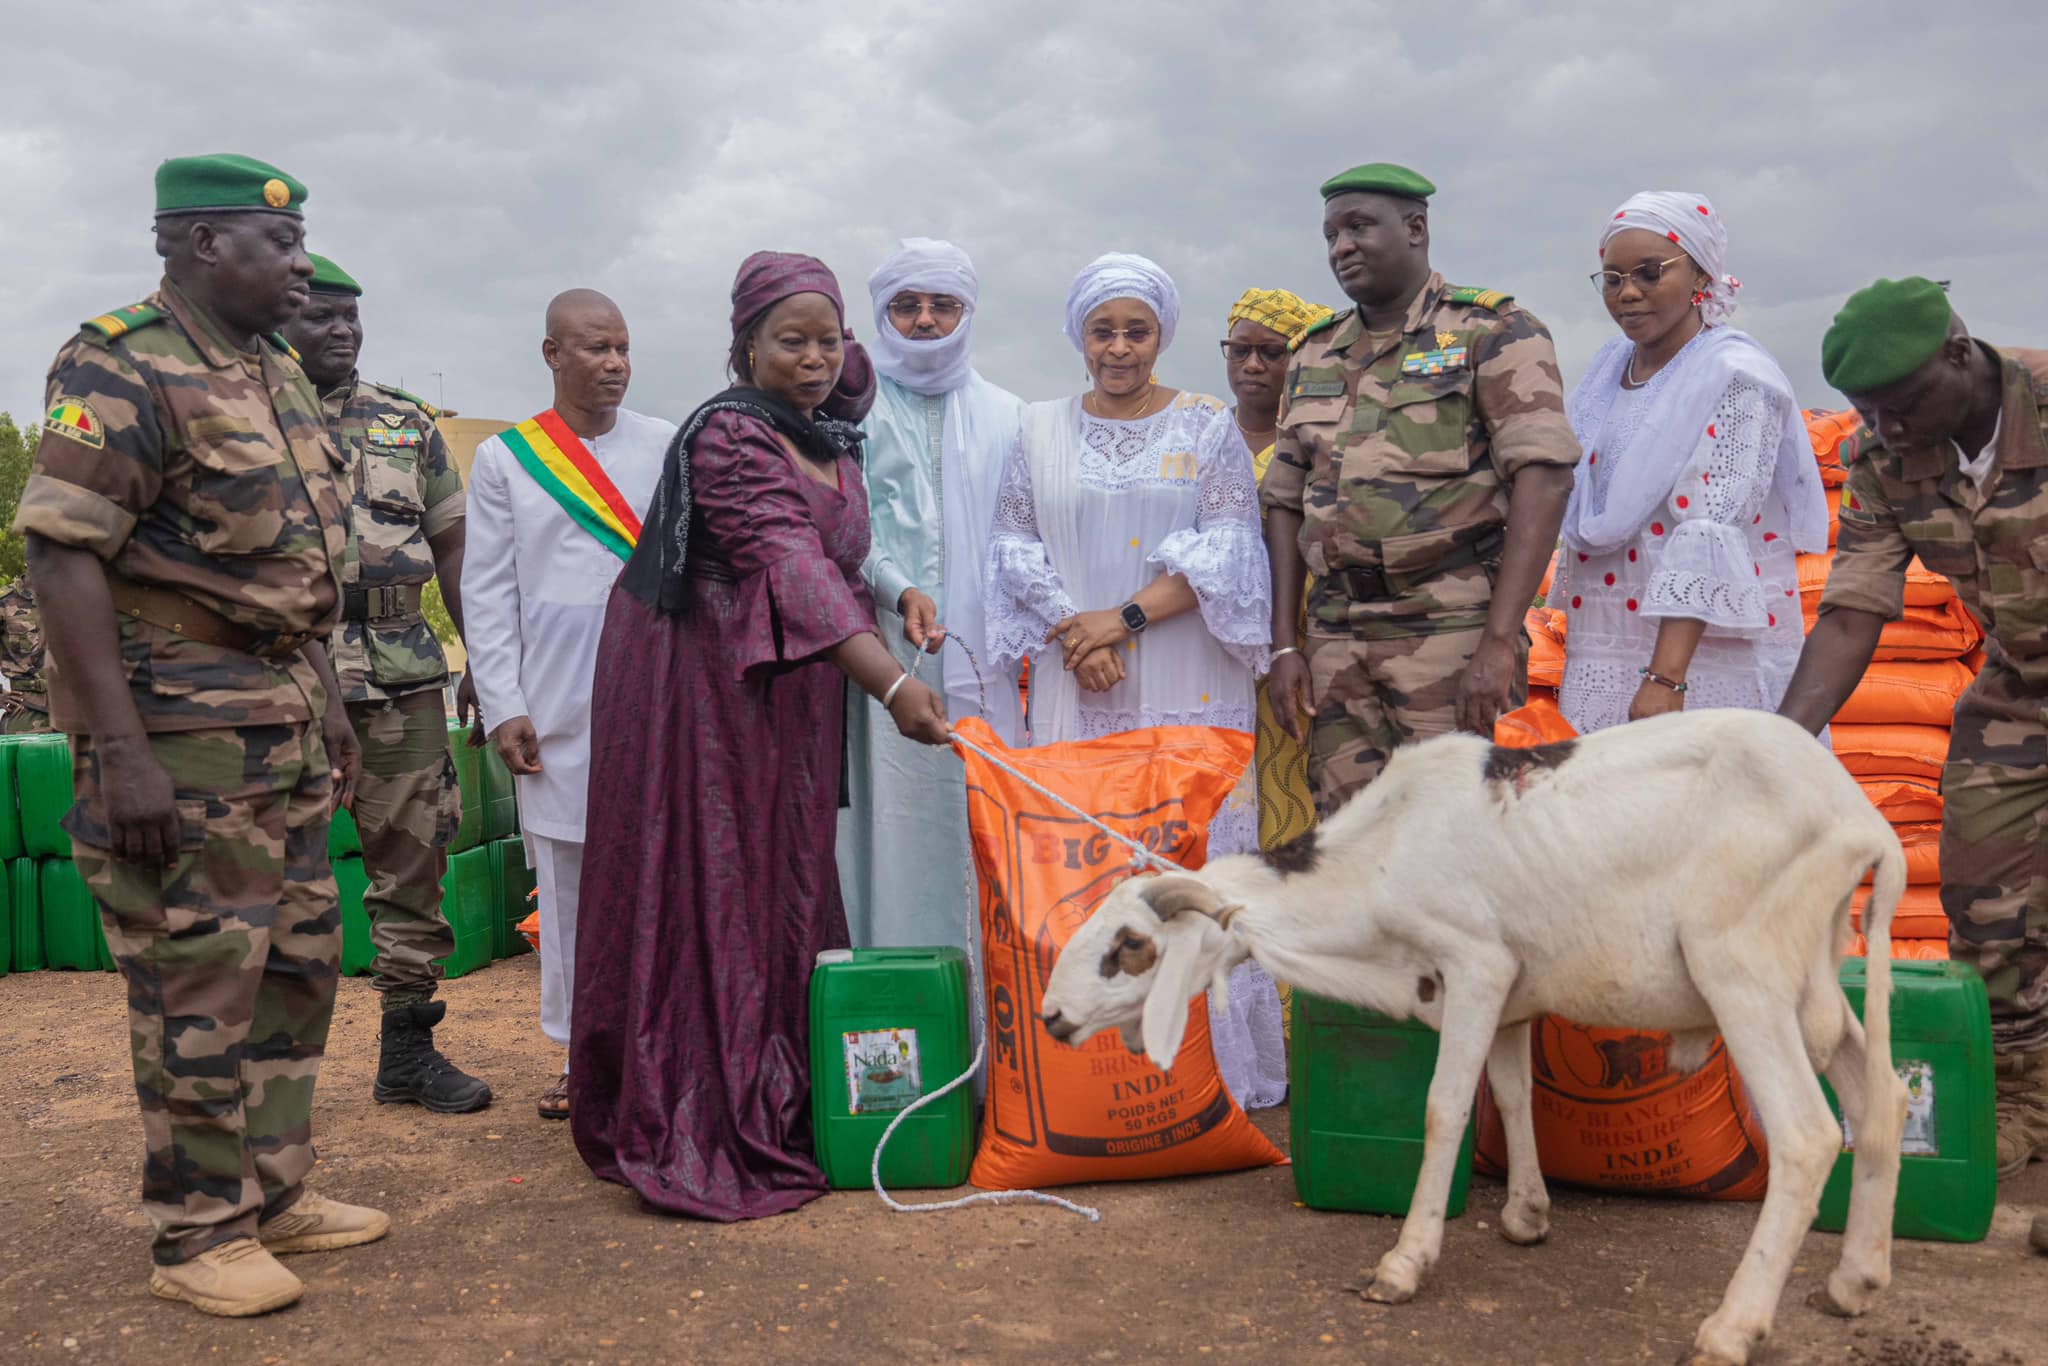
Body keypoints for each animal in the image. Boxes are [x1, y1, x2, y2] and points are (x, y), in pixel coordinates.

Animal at [1048, 704, 1908, 1366]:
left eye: (1130, 945)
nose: (1053, 1017)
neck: (1379, 861)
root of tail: (1863, 821)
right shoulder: (1514, 997)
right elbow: (1511, 1093)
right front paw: (1527, 1215)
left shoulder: (1475, 967)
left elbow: (1444, 1109)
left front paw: (1404, 1264)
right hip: (1812, 987)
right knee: (1885, 1104)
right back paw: (1854, 1283)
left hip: (1743, 974)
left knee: (1806, 1136)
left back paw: (1733, 1328)